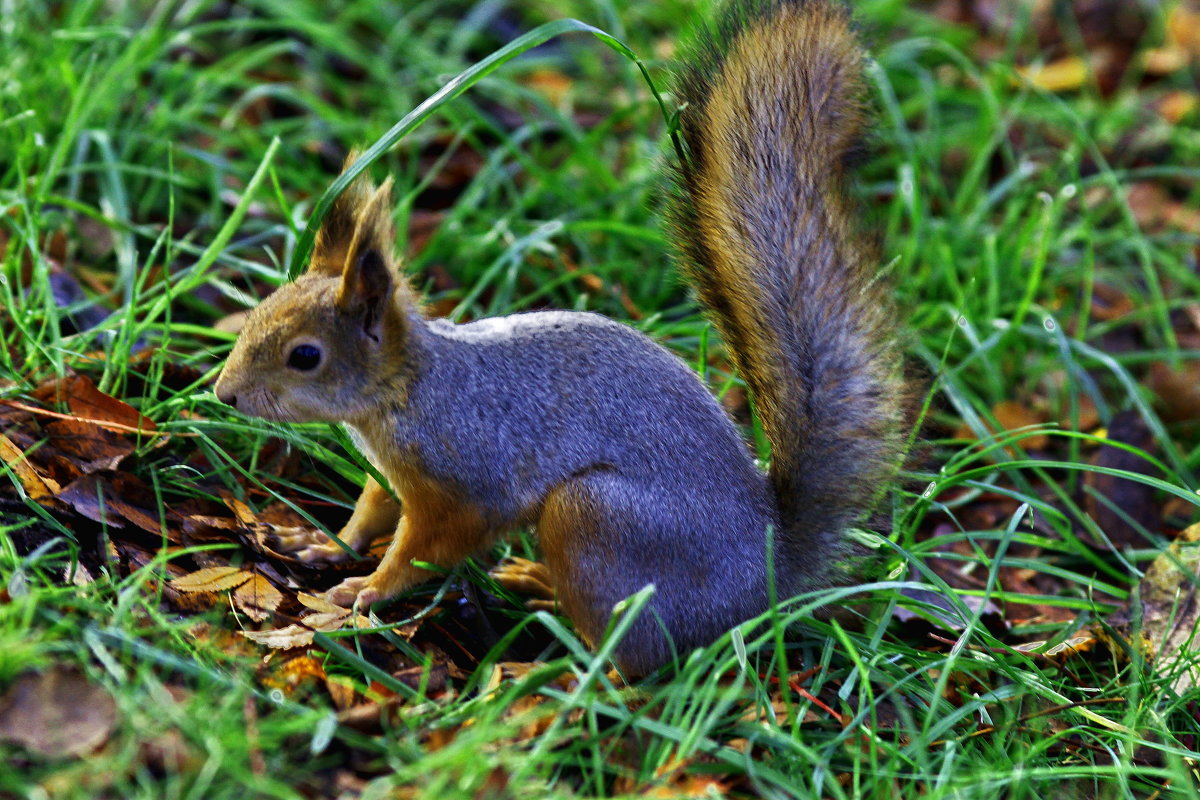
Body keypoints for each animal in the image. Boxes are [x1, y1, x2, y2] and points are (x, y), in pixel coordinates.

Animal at [216, 0, 902, 676]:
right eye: (258, 311)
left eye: (306, 356)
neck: (410, 390)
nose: (224, 395)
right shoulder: (393, 475)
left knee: (635, 667)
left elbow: (425, 548)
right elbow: (370, 511)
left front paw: (366, 590)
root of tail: (766, 577)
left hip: (594, 518)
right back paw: (535, 587)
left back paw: (546, 676)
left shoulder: (465, 481)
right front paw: (324, 543)